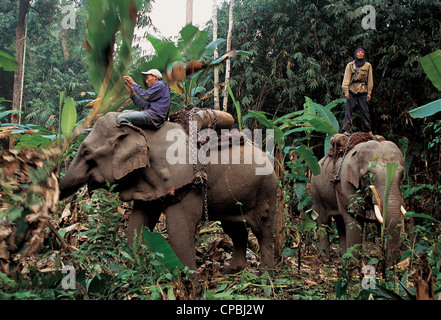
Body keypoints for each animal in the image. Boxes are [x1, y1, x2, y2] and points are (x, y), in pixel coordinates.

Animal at [58, 111, 276, 272]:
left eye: (86, 152)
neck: (141, 132)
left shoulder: (185, 180)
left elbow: (180, 228)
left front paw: (189, 283)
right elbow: (137, 223)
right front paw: (135, 271)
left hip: (266, 187)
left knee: (262, 227)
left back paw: (266, 273)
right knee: (235, 228)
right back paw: (231, 271)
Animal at [308, 133, 404, 264]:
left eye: (402, 175)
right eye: (368, 176)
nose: (392, 266)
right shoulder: (345, 181)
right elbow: (354, 218)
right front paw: (354, 265)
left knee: (340, 221)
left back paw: (343, 256)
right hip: (315, 191)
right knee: (323, 220)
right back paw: (326, 259)